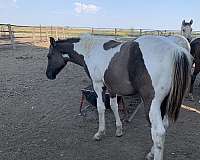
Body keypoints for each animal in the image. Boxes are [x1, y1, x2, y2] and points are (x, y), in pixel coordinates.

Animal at [45, 35, 192, 160]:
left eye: (49, 56)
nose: (48, 75)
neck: (89, 50)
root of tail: (177, 50)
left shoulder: (98, 85)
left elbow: (101, 108)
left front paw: (100, 133)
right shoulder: (112, 88)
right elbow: (114, 106)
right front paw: (119, 129)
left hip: (152, 104)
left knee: (158, 132)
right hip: (165, 102)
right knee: (164, 126)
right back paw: (151, 152)